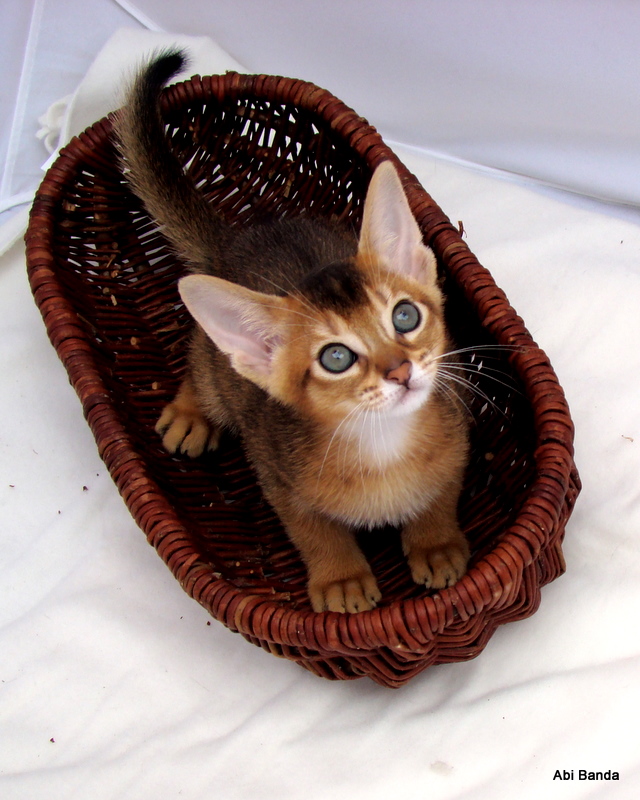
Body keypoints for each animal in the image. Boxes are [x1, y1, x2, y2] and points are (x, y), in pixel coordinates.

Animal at [115, 50, 470, 613]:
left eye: (405, 317)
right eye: (335, 358)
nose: (400, 370)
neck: (383, 444)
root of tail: (234, 243)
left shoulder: (459, 441)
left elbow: (439, 496)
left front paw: (436, 546)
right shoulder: (278, 479)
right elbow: (314, 531)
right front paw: (341, 579)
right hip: (221, 373)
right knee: (201, 361)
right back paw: (191, 414)